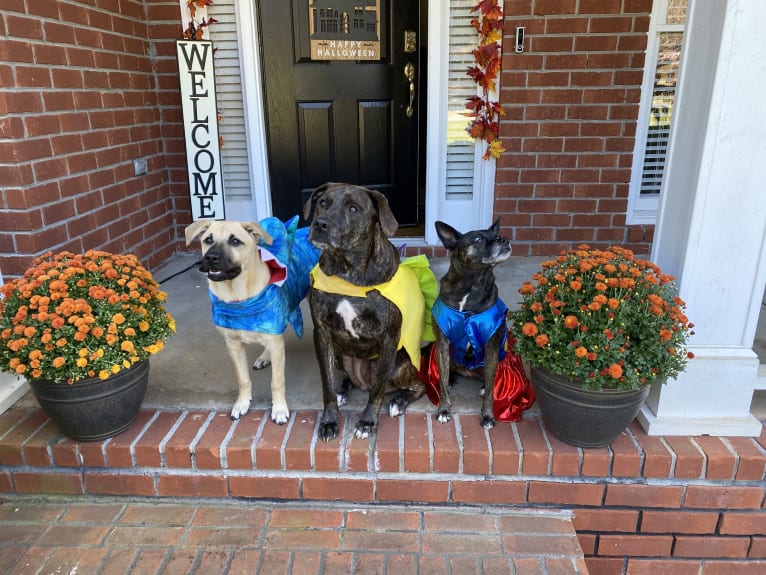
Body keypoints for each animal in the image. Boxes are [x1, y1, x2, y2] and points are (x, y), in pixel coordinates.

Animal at [186, 220, 292, 424]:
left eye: (235, 241)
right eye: (208, 239)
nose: (211, 258)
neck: (237, 295)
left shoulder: (275, 338)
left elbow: (277, 381)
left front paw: (279, 409)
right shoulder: (233, 345)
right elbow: (243, 379)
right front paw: (242, 404)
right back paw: (264, 357)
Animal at [436, 220, 512, 432]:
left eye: (497, 235)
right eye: (479, 239)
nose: (504, 239)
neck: (472, 283)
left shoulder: (491, 348)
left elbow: (490, 393)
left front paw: (487, 416)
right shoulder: (442, 344)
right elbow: (442, 383)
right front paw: (444, 409)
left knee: (488, 380)